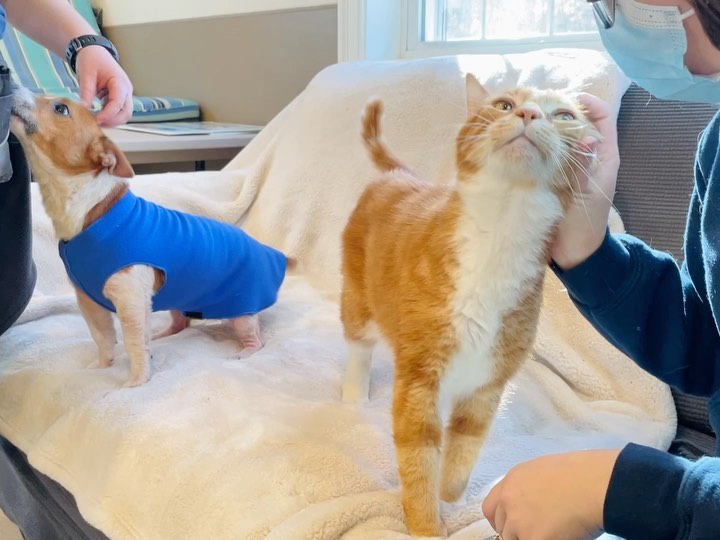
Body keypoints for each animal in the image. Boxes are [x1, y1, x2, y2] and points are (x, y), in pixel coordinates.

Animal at [9, 87, 288, 384]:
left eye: (61, 109)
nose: (10, 85)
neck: (91, 207)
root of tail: (266, 250)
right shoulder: (89, 303)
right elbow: (103, 339)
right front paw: (102, 368)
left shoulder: (130, 301)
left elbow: (134, 343)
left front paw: (137, 382)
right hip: (180, 296)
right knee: (181, 322)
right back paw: (164, 335)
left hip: (243, 306)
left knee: (256, 339)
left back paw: (245, 353)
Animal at [340, 75, 600, 536]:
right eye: (504, 104)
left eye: (564, 115)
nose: (529, 113)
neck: (500, 237)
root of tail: (400, 173)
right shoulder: (419, 379)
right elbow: (418, 456)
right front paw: (426, 524)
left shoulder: (488, 384)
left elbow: (465, 444)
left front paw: (451, 494)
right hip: (358, 296)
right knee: (359, 343)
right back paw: (355, 391)